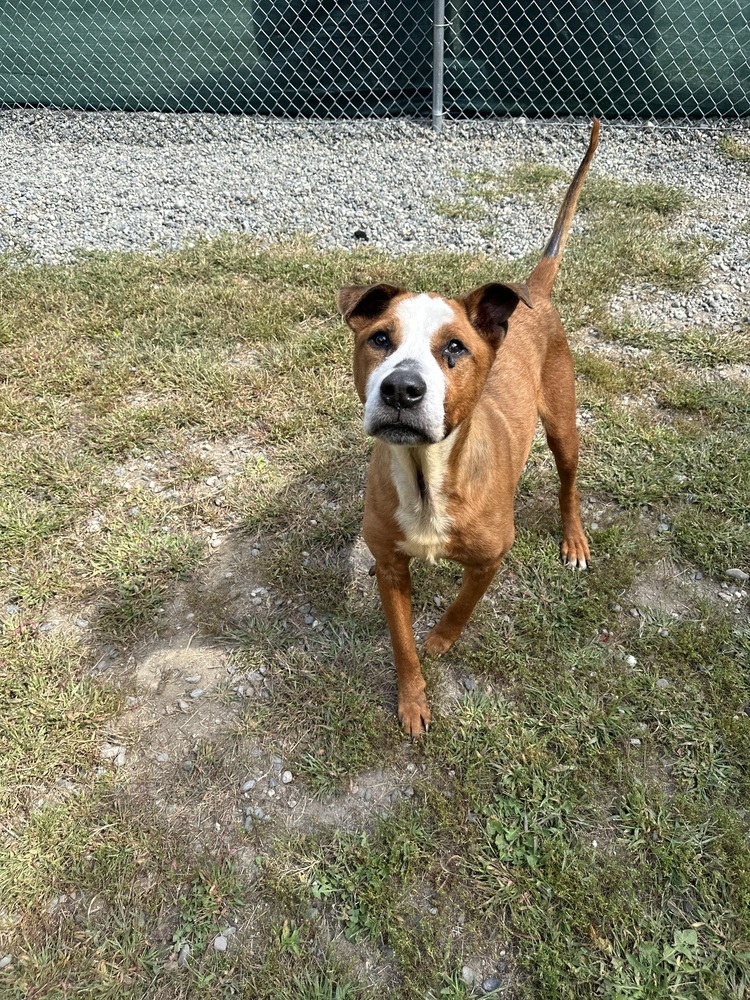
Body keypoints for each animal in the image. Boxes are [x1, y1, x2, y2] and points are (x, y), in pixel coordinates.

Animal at [338, 123, 604, 736]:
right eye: (380, 339)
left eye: (455, 348)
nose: (402, 389)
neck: (426, 476)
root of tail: (534, 295)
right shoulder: (391, 569)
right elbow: (401, 645)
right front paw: (413, 700)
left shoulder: (490, 558)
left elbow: (461, 605)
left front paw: (440, 640)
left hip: (564, 426)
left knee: (569, 483)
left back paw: (574, 539)